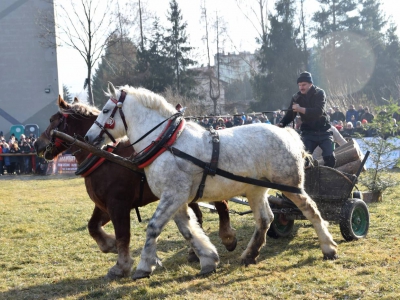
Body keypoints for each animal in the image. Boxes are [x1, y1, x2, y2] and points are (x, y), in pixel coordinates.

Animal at [34, 95, 236, 278]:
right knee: (199, 217)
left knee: (222, 205)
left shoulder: (118, 204)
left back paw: (227, 238)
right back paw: (196, 252)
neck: (103, 156)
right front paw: (110, 245)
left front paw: (121, 265)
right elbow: (93, 226)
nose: (36, 144)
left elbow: (123, 235)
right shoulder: (104, 205)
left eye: (53, 121)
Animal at [84, 82, 338, 278]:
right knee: (265, 219)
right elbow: (188, 230)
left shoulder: (173, 195)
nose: (88, 137)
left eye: (105, 110)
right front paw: (208, 259)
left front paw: (145, 266)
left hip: (290, 186)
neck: (167, 143)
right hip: (256, 189)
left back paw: (328, 248)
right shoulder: (176, 198)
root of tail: (286, 132)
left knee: (311, 210)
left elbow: (153, 227)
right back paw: (249, 255)